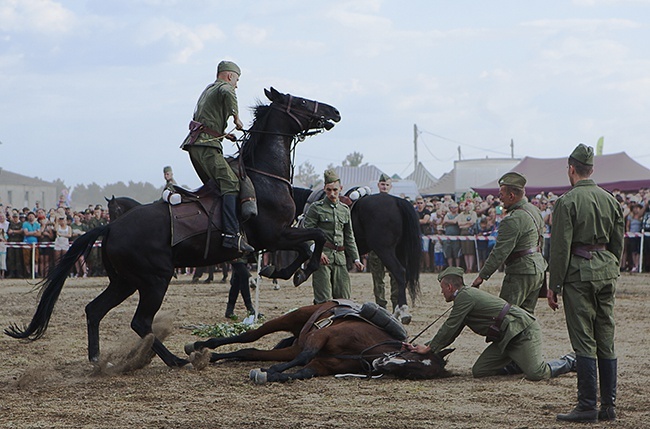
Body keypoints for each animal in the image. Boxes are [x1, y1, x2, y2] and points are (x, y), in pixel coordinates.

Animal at [6, 87, 340, 368]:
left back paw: (98, 360)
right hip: (155, 279)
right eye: (301, 101)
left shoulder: (277, 238)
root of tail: (111, 228)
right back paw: (176, 360)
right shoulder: (275, 235)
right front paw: (295, 272)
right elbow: (316, 238)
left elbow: (306, 246)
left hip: (125, 281)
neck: (264, 177)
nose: (334, 111)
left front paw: (284, 271)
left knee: (95, 310)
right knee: (139, 322)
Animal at [185, 300, 450, 382]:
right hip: (294, 317)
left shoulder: (324, 365)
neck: (364, 350)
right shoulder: (322, 335)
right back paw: (201, 346)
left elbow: (303, 371)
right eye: (413, 355)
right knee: (251, 335)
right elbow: (307, 356)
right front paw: (272, 370)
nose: (381, 365)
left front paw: (272, 374)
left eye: (415, 373)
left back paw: (210, 356)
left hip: (292, 344)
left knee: (251, 350)